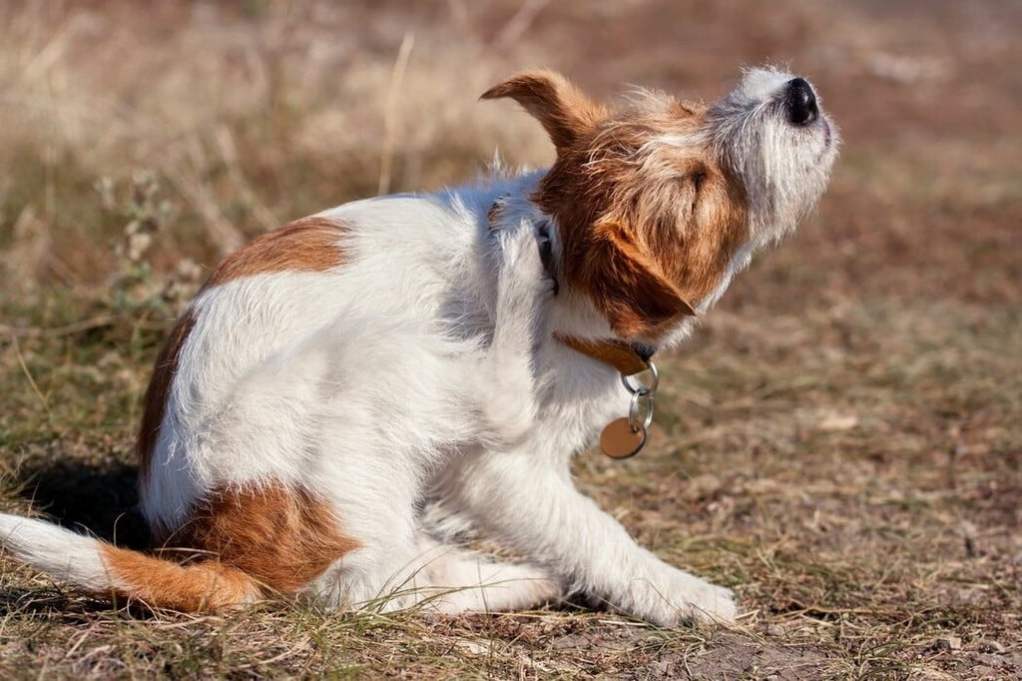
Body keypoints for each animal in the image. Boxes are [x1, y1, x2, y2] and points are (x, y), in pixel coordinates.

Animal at [0, 66, 838, 621]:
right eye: (698, 184)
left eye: (688, 107)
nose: (799, 94)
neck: (568, 262)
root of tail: (214, 546)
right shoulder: (503, 469)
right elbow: (590, 528)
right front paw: (680, 592)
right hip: (376, 352)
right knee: (363, 583)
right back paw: (514, 266)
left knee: (388, 571)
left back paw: (502, 570)